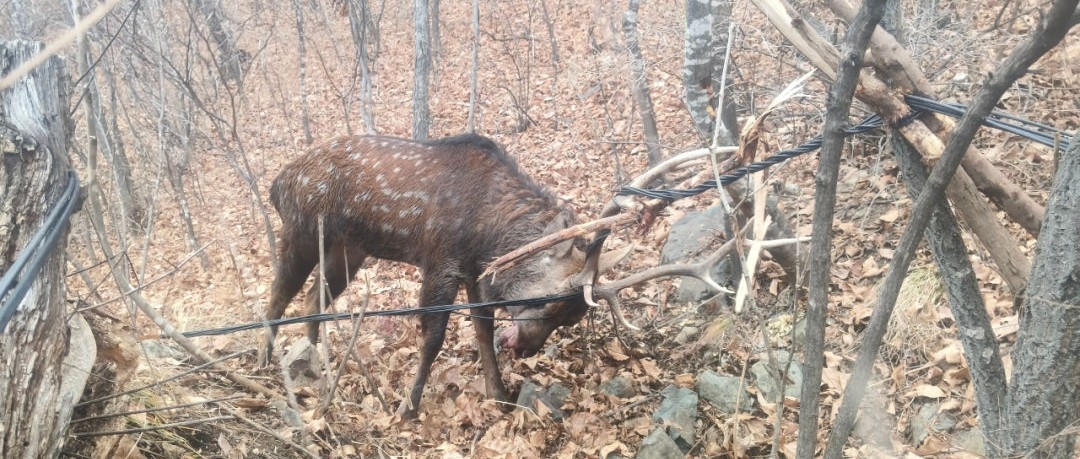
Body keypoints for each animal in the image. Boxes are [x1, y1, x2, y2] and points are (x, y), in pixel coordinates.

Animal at [262, 133, 630, 419]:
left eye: (571, 320)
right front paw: (408, 408)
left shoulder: (474, 272)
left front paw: (500, 397)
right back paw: (266, 362)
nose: (526, 349)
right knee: (278, 296)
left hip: (348, 248)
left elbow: (483, 330)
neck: (487, 234)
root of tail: (276, 185)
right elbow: (433, 338)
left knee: (313, 298)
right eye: (550, 302)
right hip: (301, 230)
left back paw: (312, 364)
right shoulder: (441, 260)